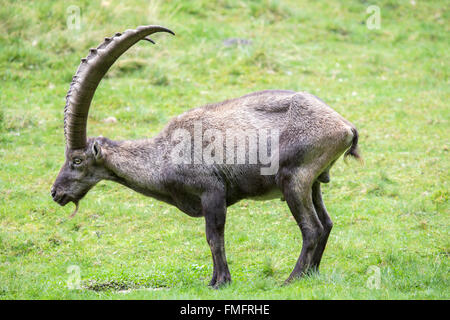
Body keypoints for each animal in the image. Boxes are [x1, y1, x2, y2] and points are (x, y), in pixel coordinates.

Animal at [51, 25, 362, 288]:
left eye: (77, 160)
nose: (56, 193)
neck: (162, 156)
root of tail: (344, 127)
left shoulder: (212, 192)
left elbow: (214, 237)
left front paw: (220, 281)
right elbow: (213, 239)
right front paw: (215, 279)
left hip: (294, 179)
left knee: (312, 228)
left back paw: (291, 279)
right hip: (314, 181)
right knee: (326, 223)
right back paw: (311, 274)